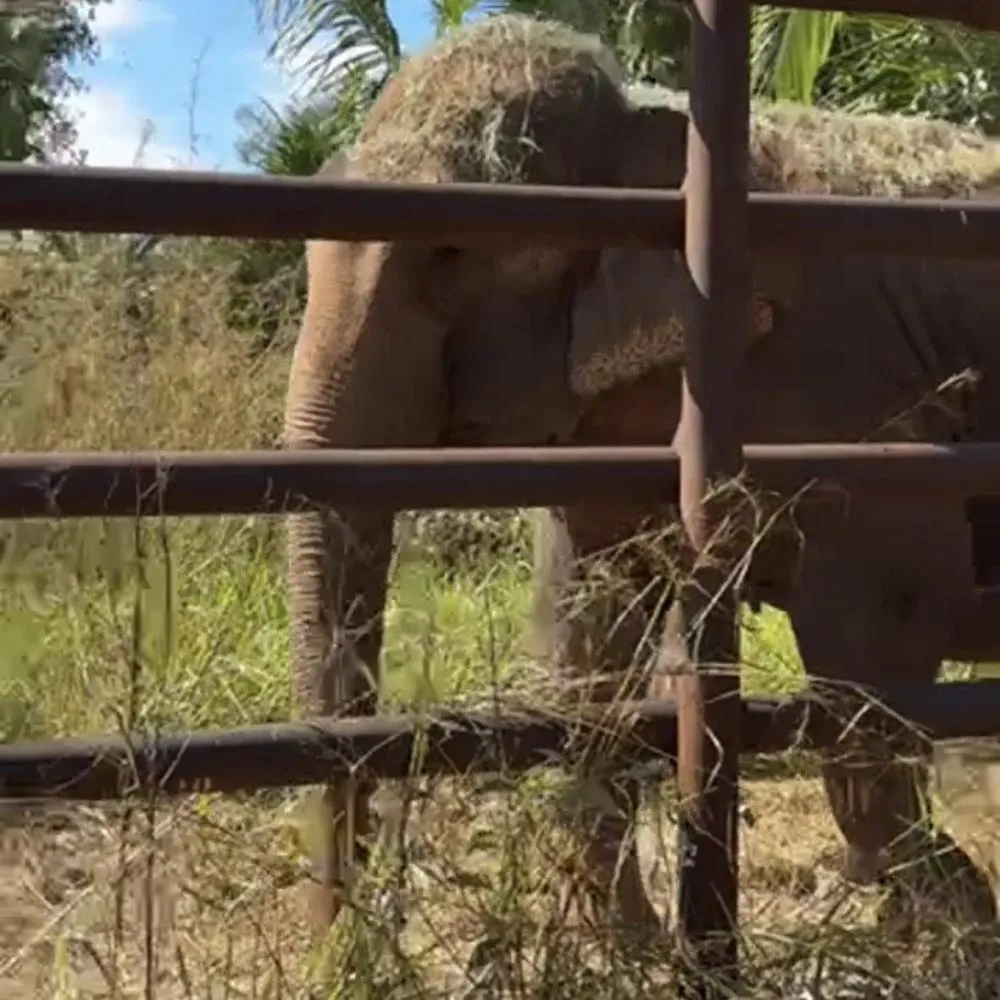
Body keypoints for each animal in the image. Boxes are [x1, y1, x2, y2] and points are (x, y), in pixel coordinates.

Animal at [282, 13, 999, 944]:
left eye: (451, 251)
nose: (351, 952)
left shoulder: (862, 399)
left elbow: (884, 629)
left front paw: (957, 923)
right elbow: (589, 636)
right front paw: (635, 949)